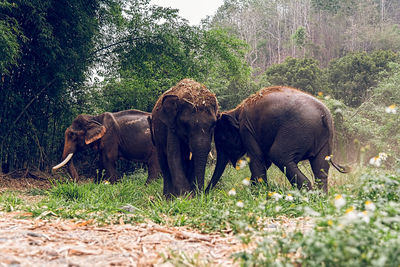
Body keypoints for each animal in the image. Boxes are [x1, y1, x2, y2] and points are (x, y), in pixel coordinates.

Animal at [206, 87, 346, 194]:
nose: (205, 193)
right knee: (320, 168)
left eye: (222, 140)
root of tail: (324, 115)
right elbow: (265, 162)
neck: (236, 111)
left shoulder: (247, 130)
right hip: (324, 138)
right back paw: (320, 197)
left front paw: (258, 195)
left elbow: (257, 160)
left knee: (279, 156)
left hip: (296, 131)